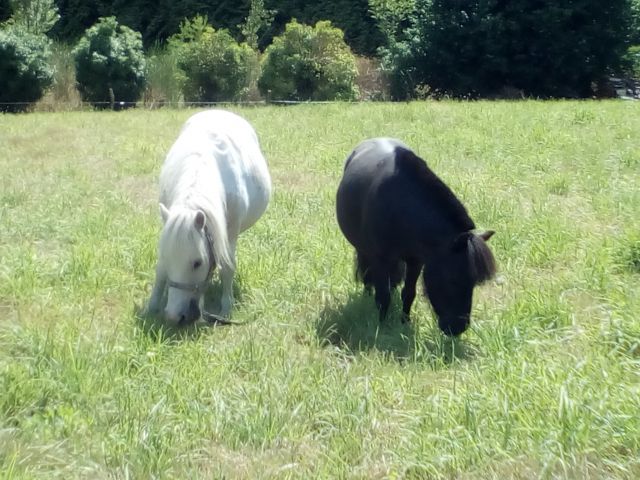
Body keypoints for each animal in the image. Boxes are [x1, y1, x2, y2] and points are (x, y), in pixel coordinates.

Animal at [147, 110, 270, 324]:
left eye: (197, 263)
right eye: (168, 257)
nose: (173, 316)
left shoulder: (229, 232)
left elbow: (227, 266)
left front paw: (226, 308)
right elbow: (160, 270)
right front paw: (152, 306)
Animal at [338, 137, 498, 336]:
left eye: (474, 282)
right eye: (453, 279)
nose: (458, 328)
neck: (401, 207)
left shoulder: (416, 261)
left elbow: (408, 293)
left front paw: (404, 322)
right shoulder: (381, 259)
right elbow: (383, 295)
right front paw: (381, 327)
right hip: (363, 250)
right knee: (366, 272)